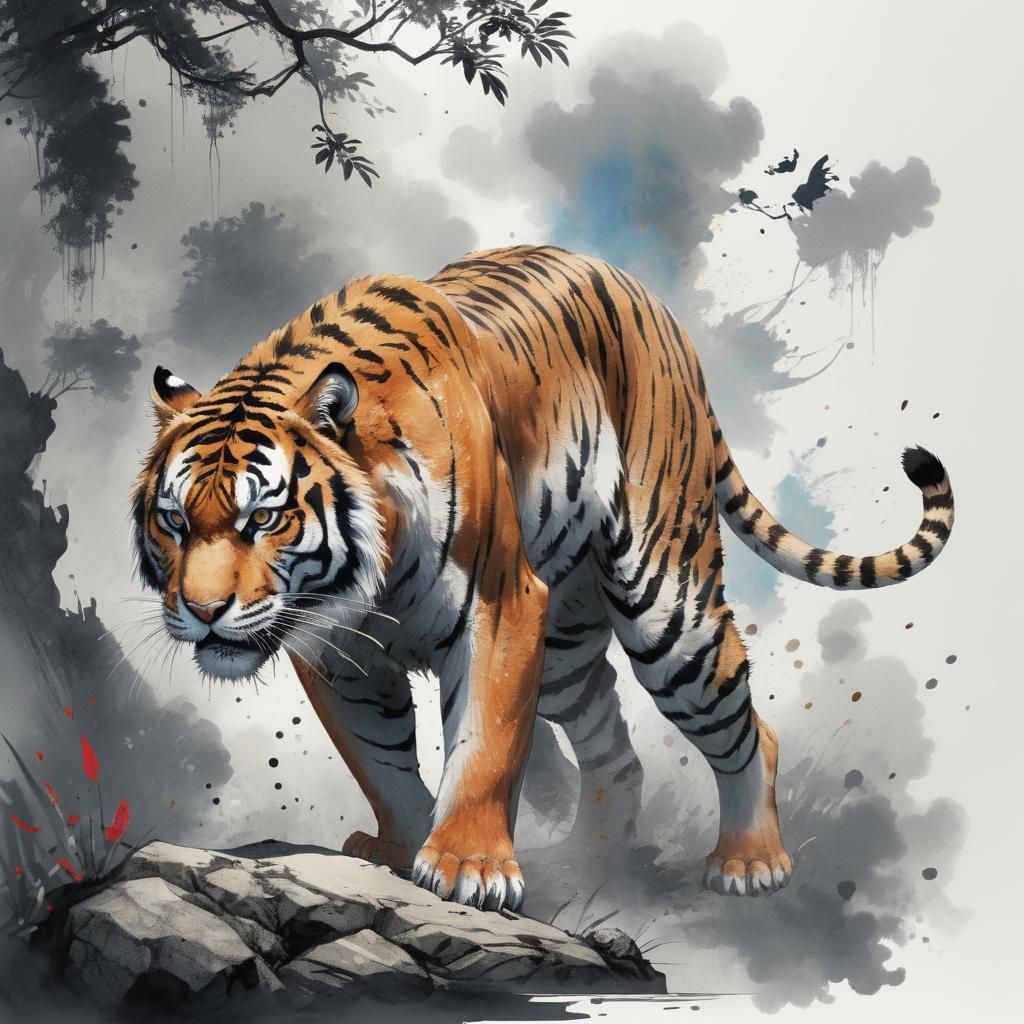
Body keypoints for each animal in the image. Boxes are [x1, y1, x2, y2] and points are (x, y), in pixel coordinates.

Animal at [133, 245, 954, 911]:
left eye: (263, 518)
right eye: (173, 520)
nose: (203, 611)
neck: (366, 580)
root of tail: (651, 301)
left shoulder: (498, 606)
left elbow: (485, 743)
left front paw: (468, 867)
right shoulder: (338, 653)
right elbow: (381, 762)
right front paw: (401, 848)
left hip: (665, 609)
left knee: (744, 718)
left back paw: (750, 862)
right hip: (563, 646)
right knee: (614, 746)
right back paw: (596, 858)